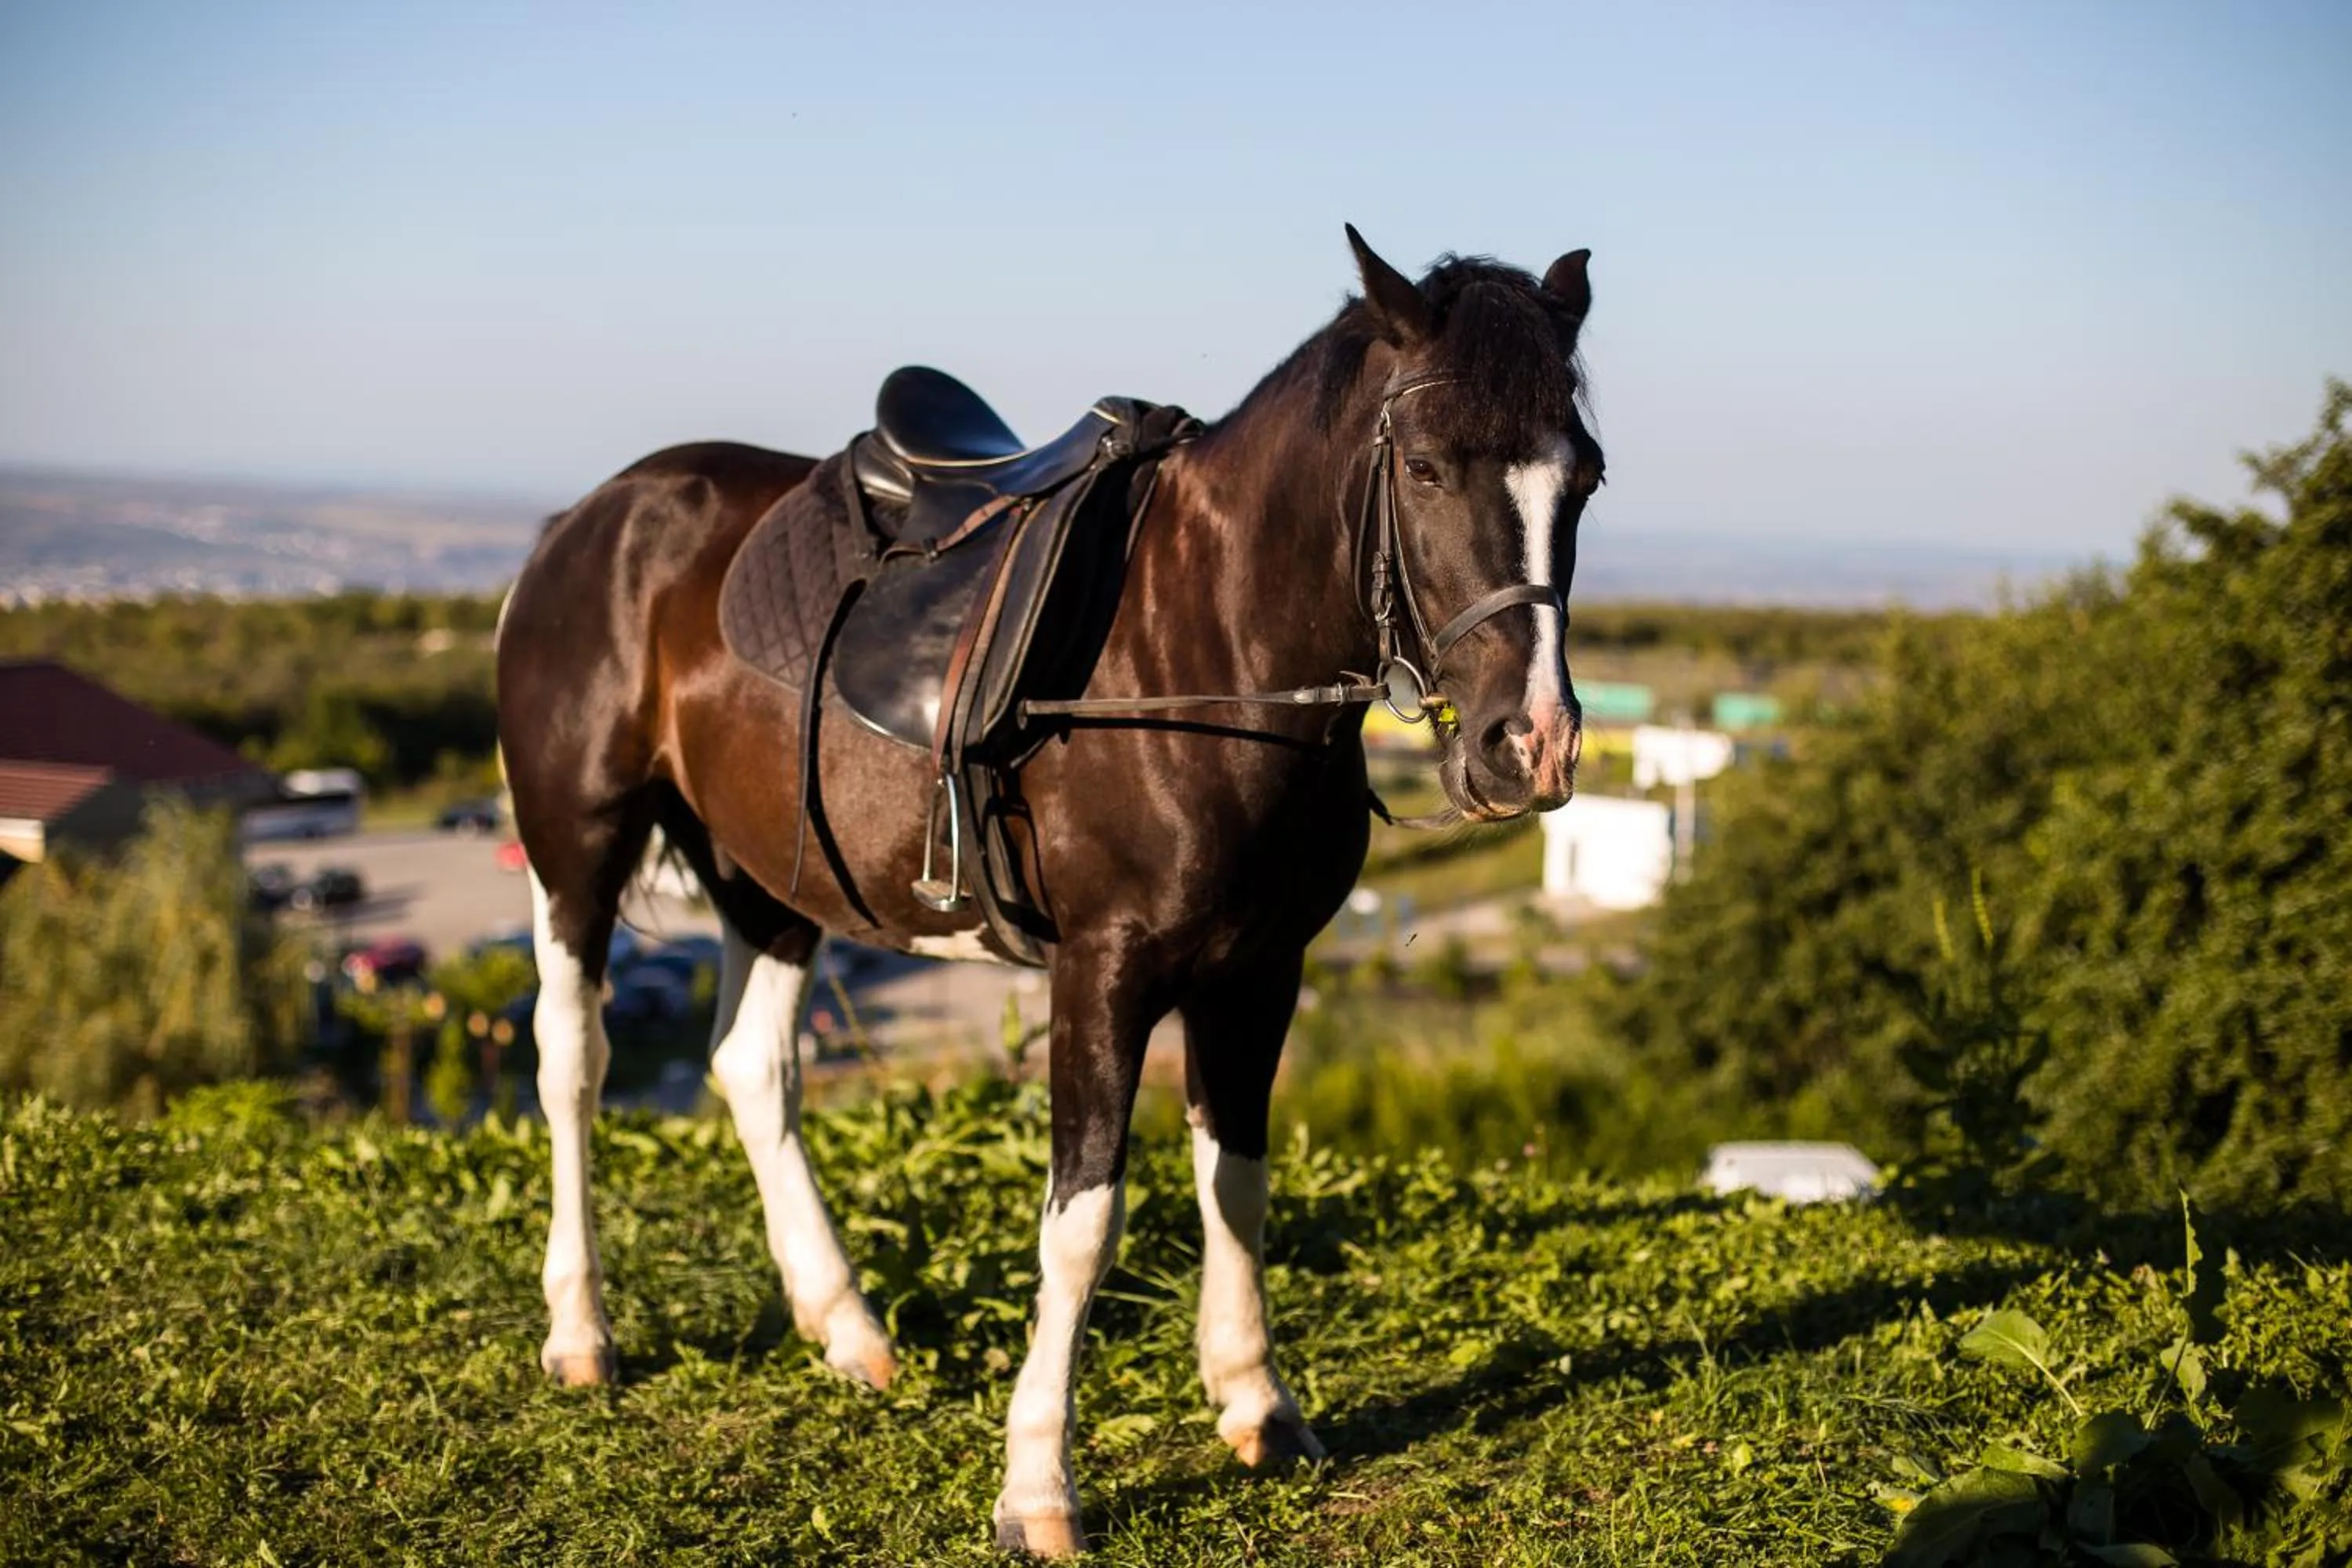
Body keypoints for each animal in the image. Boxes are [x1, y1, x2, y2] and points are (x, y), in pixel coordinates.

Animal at [493, 225, 1603, 1557]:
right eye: (1429, 467)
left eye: (1584, 479)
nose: (1529, 746)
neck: (1210, 651)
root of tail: (590, 517)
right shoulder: (1104, 973)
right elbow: (1083, 1224)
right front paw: (1037, 1487)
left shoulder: (1259, 975)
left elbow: (1238, 1183)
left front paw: (1257, 1403)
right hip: (577, 848)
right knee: (573, 1065)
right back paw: (581, 1330)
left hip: (769, 878)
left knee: (752, 1071)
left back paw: (846, 1327)